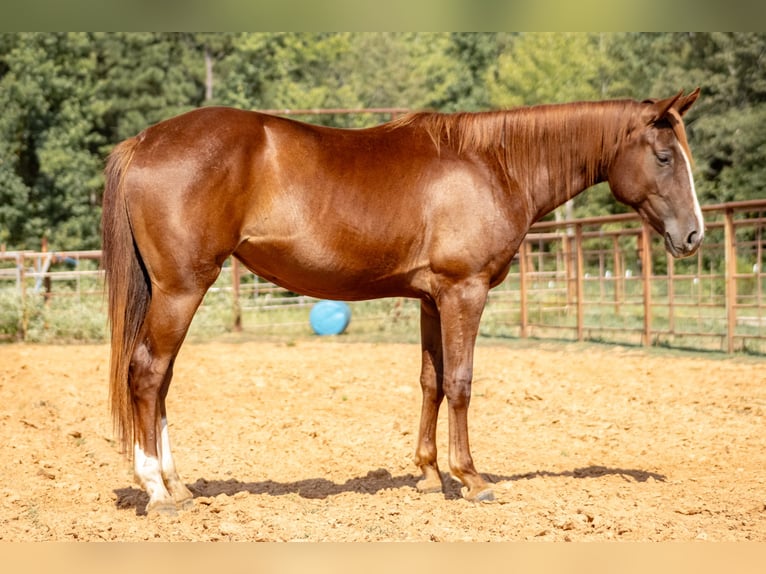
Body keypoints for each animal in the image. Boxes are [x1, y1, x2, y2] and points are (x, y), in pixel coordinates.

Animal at [103, 90, 708, 516]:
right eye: (663, 157)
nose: (694, 236)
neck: (493, 164)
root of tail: (145, 141)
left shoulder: (430, 299)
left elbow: (431, 382)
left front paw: (428, 475)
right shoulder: (464, 291)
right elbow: (461, 383)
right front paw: (472, 479)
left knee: (161, 380)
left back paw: (179, 486)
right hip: (182, 290)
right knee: (148, 373)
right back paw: (158, 491)